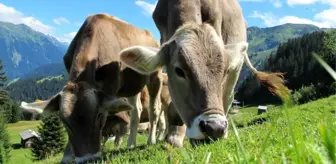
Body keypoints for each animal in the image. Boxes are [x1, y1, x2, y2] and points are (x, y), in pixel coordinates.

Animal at [19, 13, 162, 163]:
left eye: (99, 115)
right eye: (64, 122)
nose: (88, 159)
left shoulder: (111, 86)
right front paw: (67, 155)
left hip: (155, 75)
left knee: (155, 107)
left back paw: (151, 140)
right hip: (132, 85)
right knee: (136, 110)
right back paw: (131, 144)